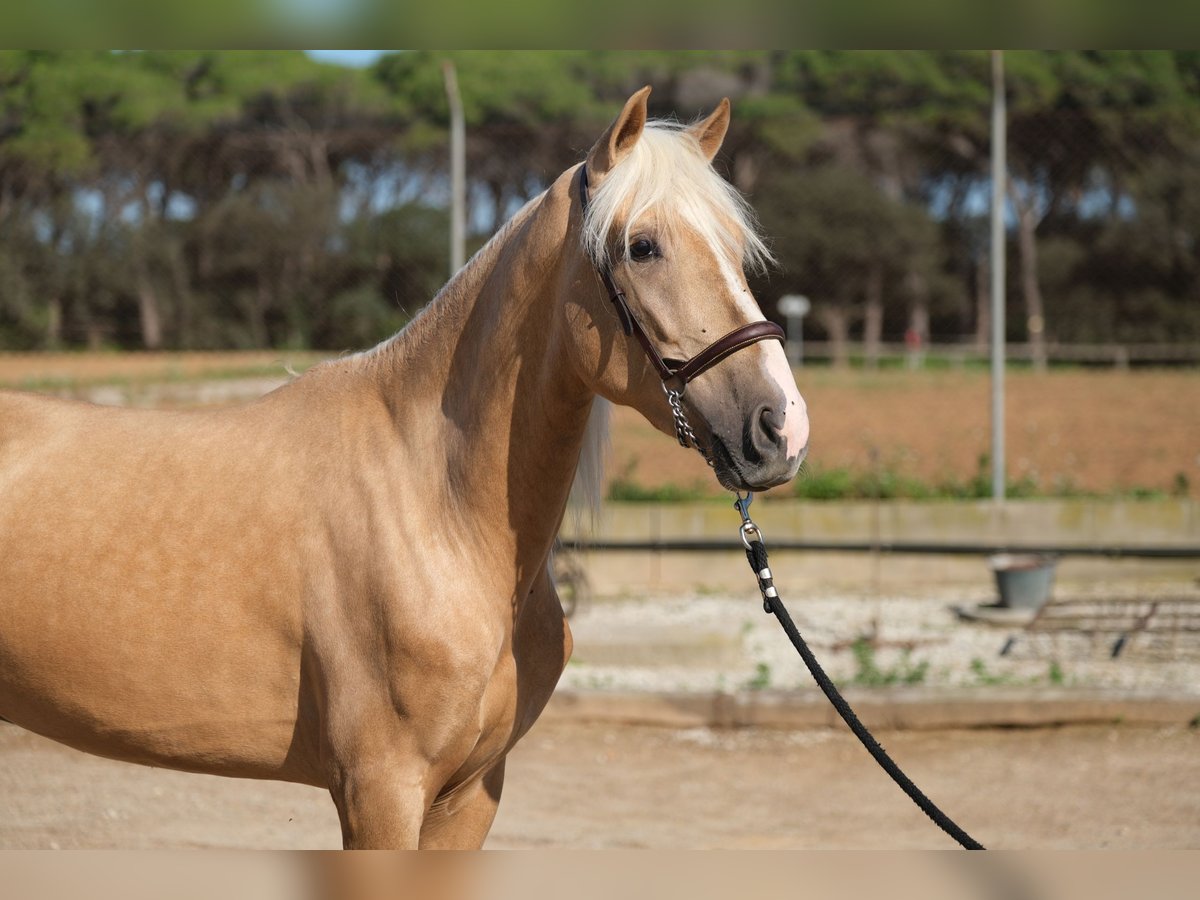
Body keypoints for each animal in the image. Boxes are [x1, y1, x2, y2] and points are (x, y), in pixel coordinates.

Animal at [0, 88, 811, 849]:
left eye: (736, 244)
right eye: (642, 246)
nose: (781, 426)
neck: (438, 508)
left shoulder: (470, 795)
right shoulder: (381, 790)